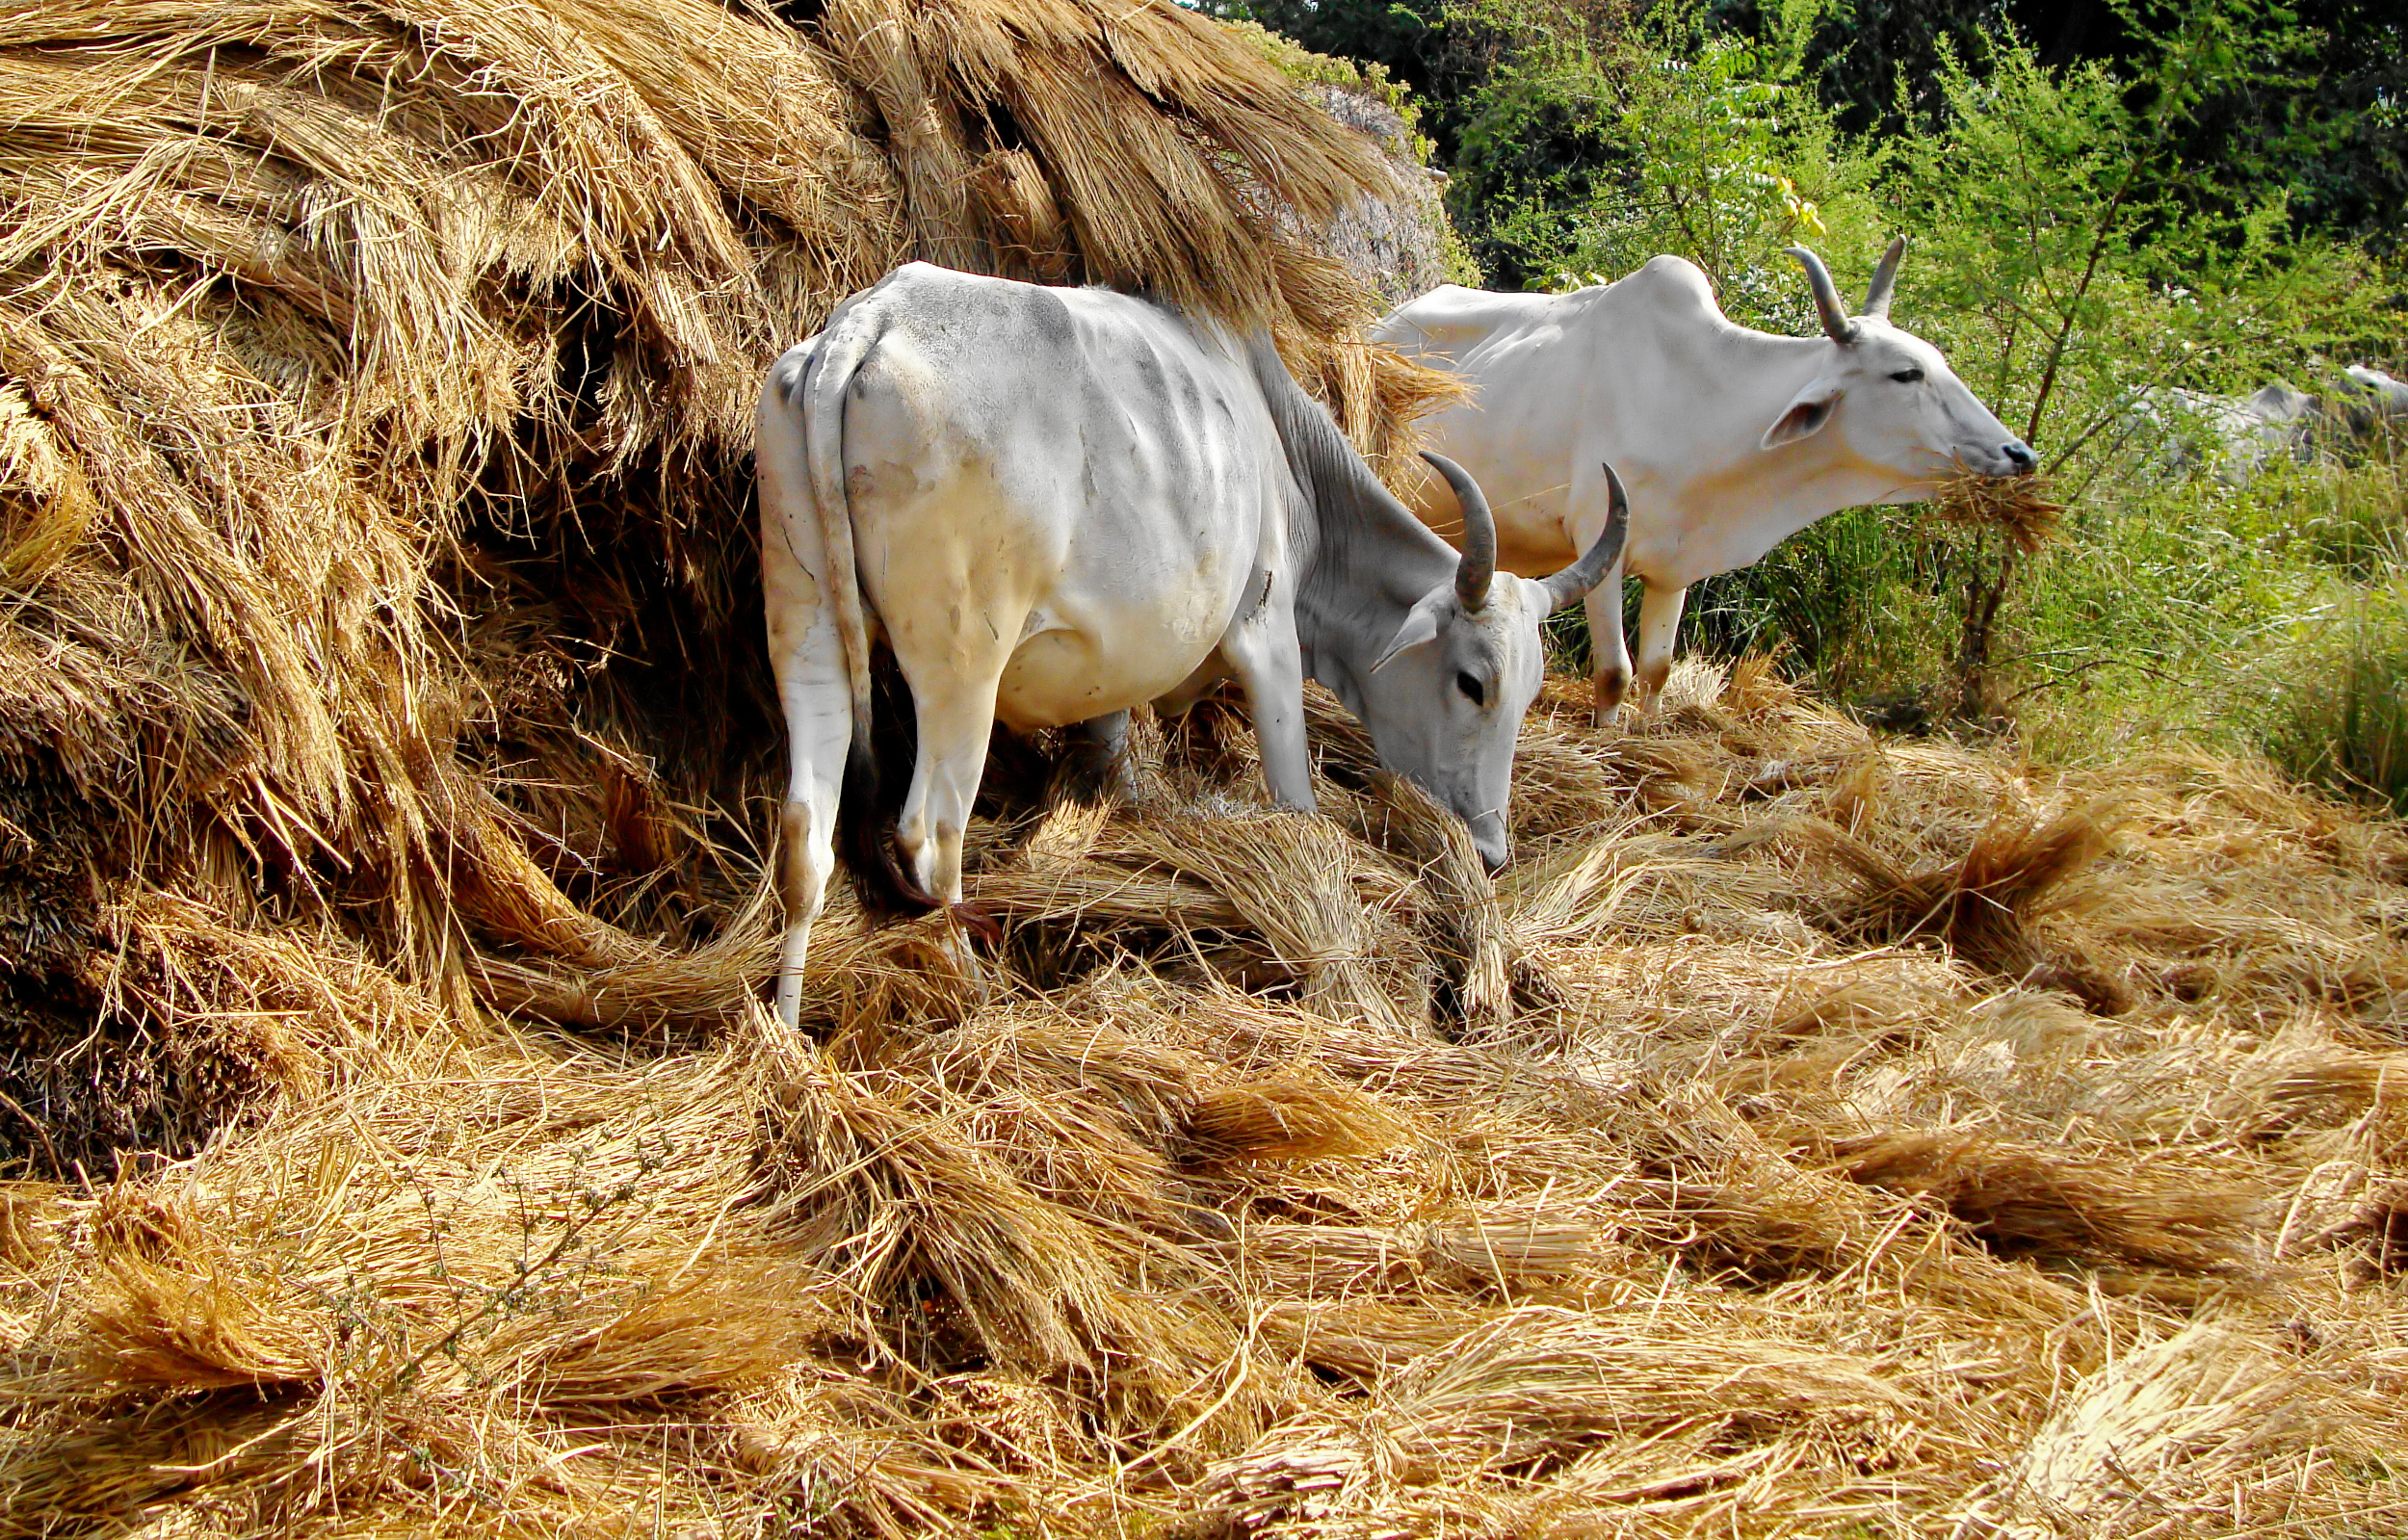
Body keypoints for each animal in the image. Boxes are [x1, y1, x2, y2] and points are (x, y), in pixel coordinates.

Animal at [757, 263, 1630, 1028]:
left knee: (806, 831)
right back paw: (974, 992)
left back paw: (788, 1027)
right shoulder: (1267, 635)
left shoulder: (1105, 681)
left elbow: (1107, 758)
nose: (1490, 848)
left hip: (806, 631)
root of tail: (872, 319)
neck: (1282, 453)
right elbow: (1296, 800)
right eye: (1471, 681)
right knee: (929, 836)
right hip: (962, 670)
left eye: (1528, 691)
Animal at [1372, 240, 2037, 721]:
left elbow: (1657, 670)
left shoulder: (1676, 569)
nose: (2019, 454)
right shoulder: (1599, 544)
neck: (1699, 400)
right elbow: (1613, 672)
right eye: (1906, 373)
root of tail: (1382, 324)